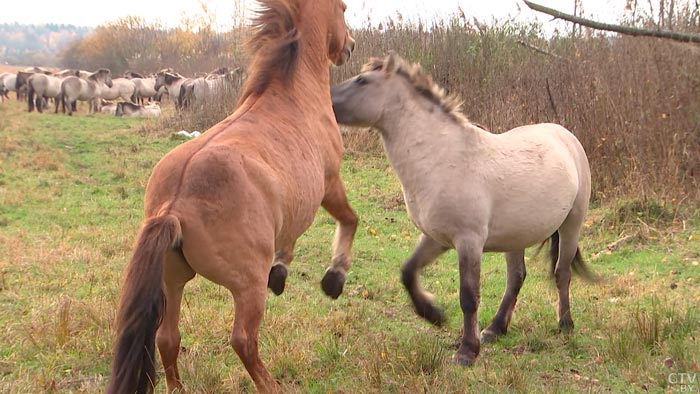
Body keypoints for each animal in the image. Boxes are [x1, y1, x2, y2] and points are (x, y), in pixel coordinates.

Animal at [106, 1, 358, 392]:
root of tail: (173, 206)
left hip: (172, 281)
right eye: (343, 8)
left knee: (167, 338)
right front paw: (334, 279)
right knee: (243, 340)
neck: (292, 93)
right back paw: (271, 385)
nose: (350, 45)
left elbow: (290, 237)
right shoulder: (330, 183)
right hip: (246, 287)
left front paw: (281, 271)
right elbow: (349, 219)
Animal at [330, 52, 596, 366]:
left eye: (362, 81)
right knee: (516, 278)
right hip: (515, 236)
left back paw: (565, 324)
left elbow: (468, 297)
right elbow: (408, 272)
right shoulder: (436, 238)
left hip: (571, 225)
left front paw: (466, 351)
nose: (326, 99)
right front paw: (433, 314)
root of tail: (566, 136)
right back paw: (495, 328)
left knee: (562, 273)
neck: (443, 157)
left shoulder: (468, 241)